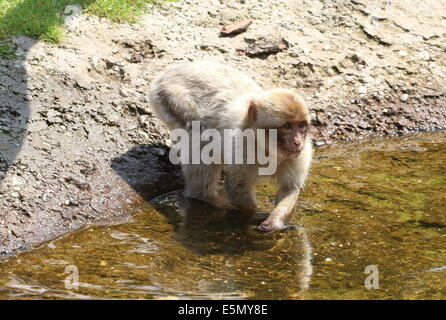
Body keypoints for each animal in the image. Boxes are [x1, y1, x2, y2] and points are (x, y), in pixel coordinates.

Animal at [148, 62, 312, 232]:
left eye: (301, 125)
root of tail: (166, 73)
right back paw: (209, 199)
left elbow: (289, 189)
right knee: (200, 138)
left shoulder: (300, 155)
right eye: (287, 126)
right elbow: (238, 186)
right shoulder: (242, 147)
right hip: (170, 99)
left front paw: (275, 221)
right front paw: (253, 215)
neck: (267, 147)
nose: (297, 141)